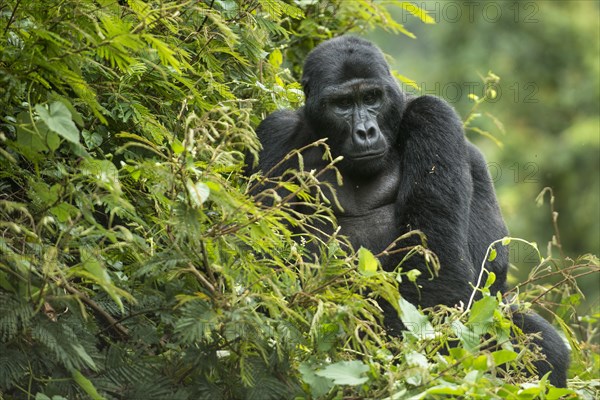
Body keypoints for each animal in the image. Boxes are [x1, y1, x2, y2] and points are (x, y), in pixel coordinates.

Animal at [251, 35, 568, 388]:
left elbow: (436, 272)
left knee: (535, 339)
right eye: (342, 103)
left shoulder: (432, 115)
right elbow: (261, 262)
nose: (365, 132)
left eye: (372, 97)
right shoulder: (275, 133)